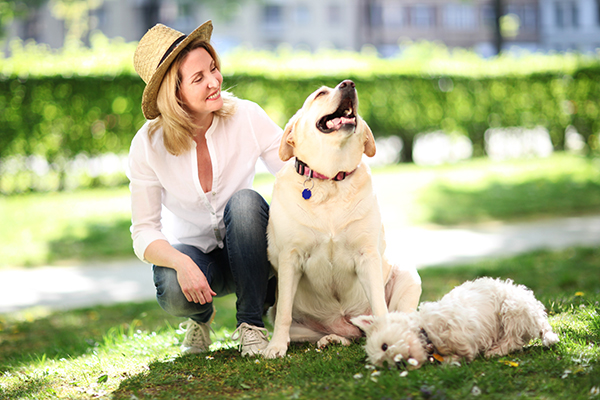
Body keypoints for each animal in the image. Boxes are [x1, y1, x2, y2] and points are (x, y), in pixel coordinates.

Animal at [350, 278, 560, 368]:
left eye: (384, 346)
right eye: (385, 364)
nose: (399, 364)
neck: (427, 332)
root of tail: (538, 316)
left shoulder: (459, 319)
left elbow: (458, 336)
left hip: (512, 308)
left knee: (514, 339)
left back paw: (495, 350)